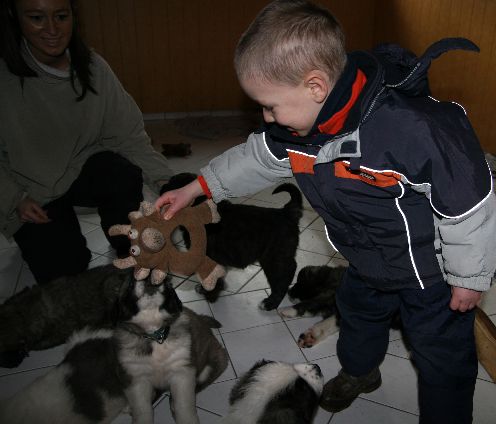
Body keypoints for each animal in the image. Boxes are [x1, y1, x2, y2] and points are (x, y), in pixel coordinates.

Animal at [0, 277, 228, 424]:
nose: (151, 279)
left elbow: (183, 406)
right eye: (131, 282)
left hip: (212, 364)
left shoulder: (182, 372)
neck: (153, 335)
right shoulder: (135, 377)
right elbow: (143, 409)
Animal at [161, 172, 303, 310]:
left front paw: (210, 295)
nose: (162, 187)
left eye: (171, 184)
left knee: (284, 276)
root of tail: (287, 213)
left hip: (274, 258)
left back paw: (270, 303)